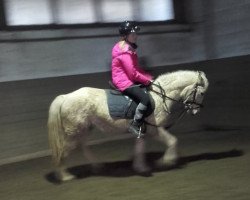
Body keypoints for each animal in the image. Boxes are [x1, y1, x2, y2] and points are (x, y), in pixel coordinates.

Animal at [47, 70, 209, 181]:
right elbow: (172, 141)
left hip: (84, 129)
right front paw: (166, 161)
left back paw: (97, 166)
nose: (195, 111)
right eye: (201, 93)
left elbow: (139, 148)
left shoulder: (143, 130)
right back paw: (65, 176)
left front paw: (141, 167)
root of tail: (66, 97)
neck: (158, 97)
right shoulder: (154, 130)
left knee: (82, 146)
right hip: (73, 131)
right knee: (63, 150)